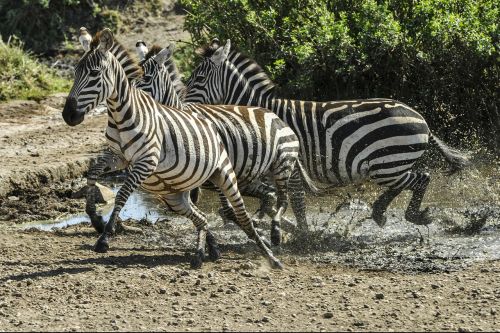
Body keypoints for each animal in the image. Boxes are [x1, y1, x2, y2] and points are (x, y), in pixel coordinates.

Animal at [61, 27, 284, 268]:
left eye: (94, 74)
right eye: (75, 72)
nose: (68, 115)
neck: (121, 116)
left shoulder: (146, 161)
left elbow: (121, 195)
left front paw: (105, 236)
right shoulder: (119, 157)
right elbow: (92, 172)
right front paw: (95, 218)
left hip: (228, 174)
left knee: (245, 210)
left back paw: (271, 251)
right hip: (181, 190)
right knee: (213, 213)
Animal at [183, 37, 468, 227]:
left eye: (198, 79)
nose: (181, 106)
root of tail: (420, 117)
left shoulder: (289, 165)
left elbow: (296, 200)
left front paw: (302, 234)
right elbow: (266, 196)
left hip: (388, 163)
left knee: (422, 179)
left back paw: (413, 215)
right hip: (389, 166)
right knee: (411, 180)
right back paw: (380, 212)